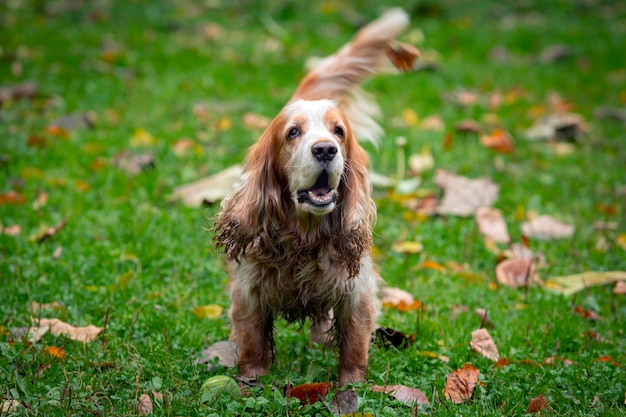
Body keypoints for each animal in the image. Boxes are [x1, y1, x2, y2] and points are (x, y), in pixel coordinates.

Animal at [213, 8, 410, 386]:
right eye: (293, 132)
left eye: (339, 131)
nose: (325, 149)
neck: (304, 237)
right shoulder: (248, 292)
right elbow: (252, 343)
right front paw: (251, 381)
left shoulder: (356, 291)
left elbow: (353, 347)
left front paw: (351, 386)